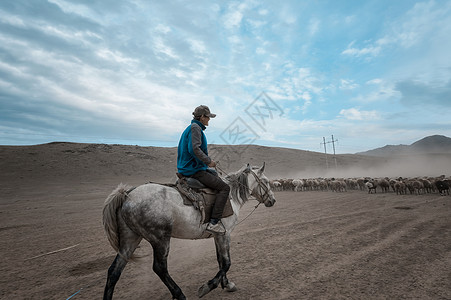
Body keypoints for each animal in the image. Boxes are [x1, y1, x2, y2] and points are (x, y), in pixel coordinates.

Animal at [103, 163, 276, 298]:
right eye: (265, 181)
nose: (273, 200)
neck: (232, 197)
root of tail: (127, 195)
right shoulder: (225, 234)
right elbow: (226, 262)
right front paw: (207, 287)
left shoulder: (217, 235)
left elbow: (220, 260)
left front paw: (226, 284)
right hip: (160, 239)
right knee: (159, 268)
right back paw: (179, 294)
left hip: (131, 238)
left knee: (114, 271)